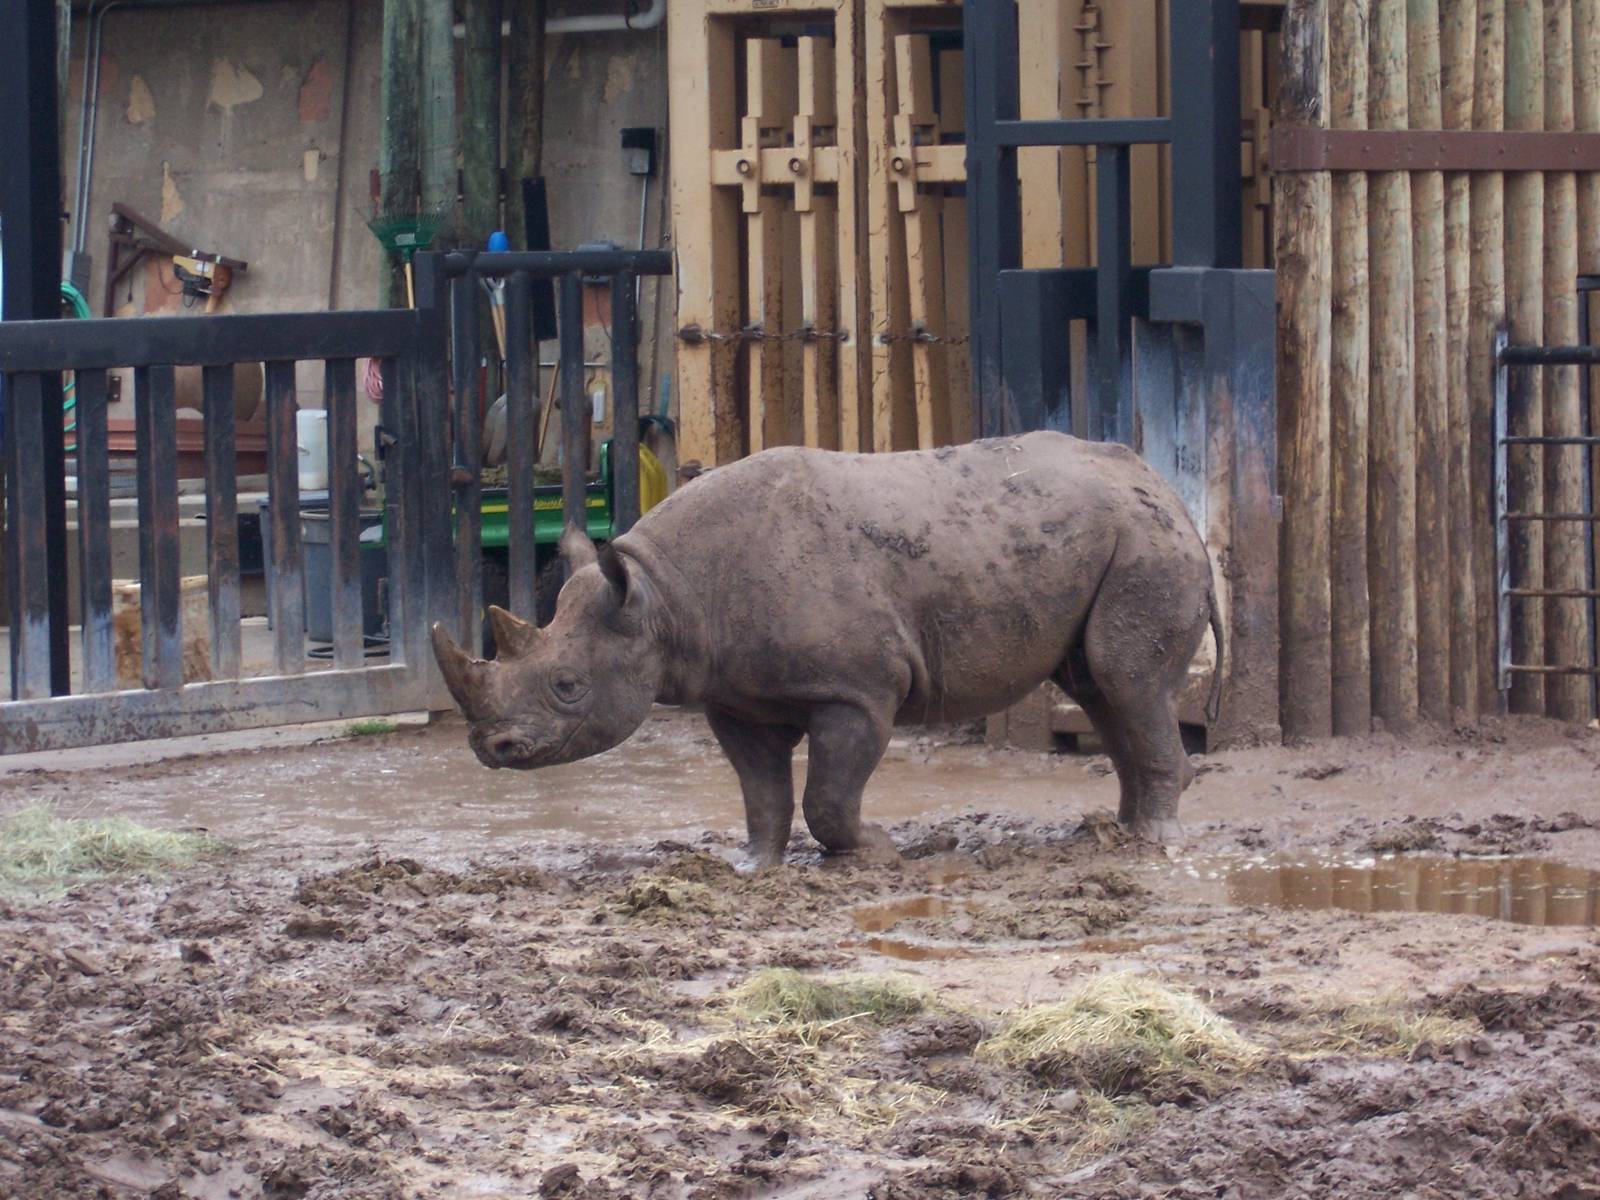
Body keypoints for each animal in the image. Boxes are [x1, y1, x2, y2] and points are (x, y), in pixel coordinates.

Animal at [432, 431, 1223, 866]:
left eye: (567, 686)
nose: (490, 749)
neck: (661, 597)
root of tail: (1160, 483)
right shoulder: (734, 695)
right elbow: (761, 791)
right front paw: (753, 865)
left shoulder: (858, 690)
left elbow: (828, 796)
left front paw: (876, 851)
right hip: (1110, 534)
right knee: (1098, 685)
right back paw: (1119, 834)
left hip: (1145, 540)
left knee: (1123, 677)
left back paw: (1154, 842)